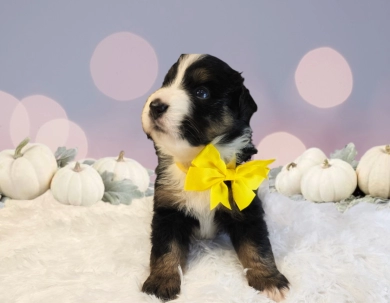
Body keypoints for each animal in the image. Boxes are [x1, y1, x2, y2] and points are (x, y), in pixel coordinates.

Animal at [142, 54, 288, 302]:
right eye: (167, 83)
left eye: (201, 93)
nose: (155, 105)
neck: (200, 166)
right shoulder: (168, 211)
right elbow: (165, 248)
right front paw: (160, 282)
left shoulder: (246, 208)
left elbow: (257, 247)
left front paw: (270, 281)